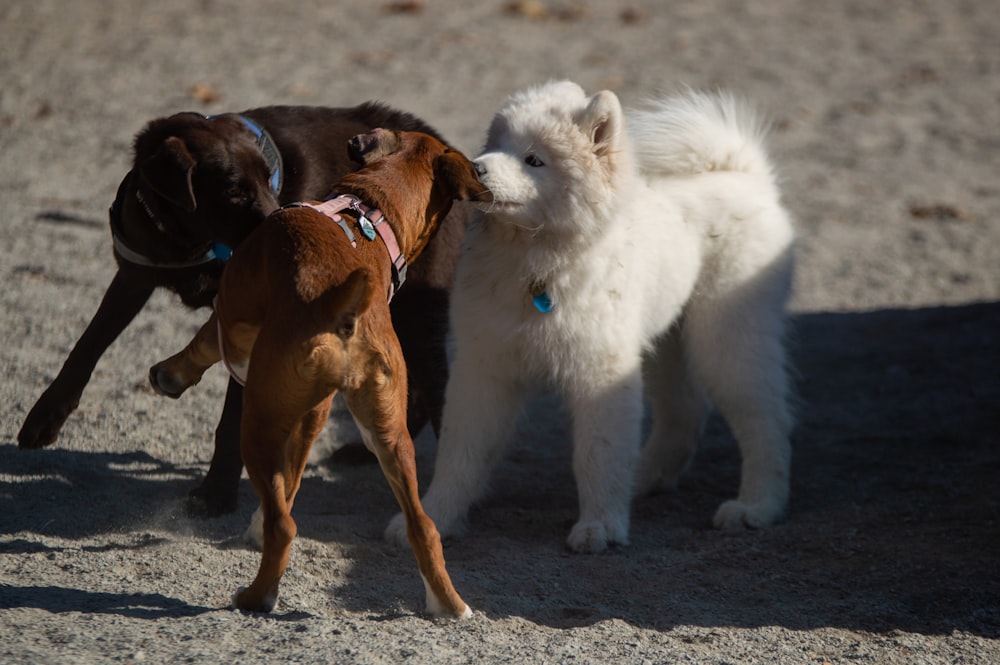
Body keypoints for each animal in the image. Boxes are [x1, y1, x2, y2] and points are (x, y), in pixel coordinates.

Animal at [16, 105, 468, 520]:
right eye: (233, 189)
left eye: (269, 180)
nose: (291, 221)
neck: (191, 242)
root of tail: (443, 147)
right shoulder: (134, 276)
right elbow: (87, 345)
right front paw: (44, 417)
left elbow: (232, 420)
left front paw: (216, 491)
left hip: (415, 311)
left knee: (438, 388)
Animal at [150, 127, 490, 616]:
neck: (371, 208)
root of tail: (338, 304)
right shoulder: (314, 413)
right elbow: (290, 481)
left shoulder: (229, 314)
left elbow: (201, 343)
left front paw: (170, 375)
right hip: (389, 435)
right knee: (423, 526)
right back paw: (449, 604)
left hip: (257, 424)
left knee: (284, 527)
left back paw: (257, 596)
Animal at [386, 81, 792, 548]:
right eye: (495, 145)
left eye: (534, 159)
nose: (476, 167)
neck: (536, 263)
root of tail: (745, 176)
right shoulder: (486, 366)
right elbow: (461, 453)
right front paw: (434, 519)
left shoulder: (601, 371)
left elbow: (598, 453)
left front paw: (600, 526)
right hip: (663, 342)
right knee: (686, 411)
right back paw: (645, 479)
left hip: (727, 336)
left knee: (764, 419)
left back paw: (756, 506)